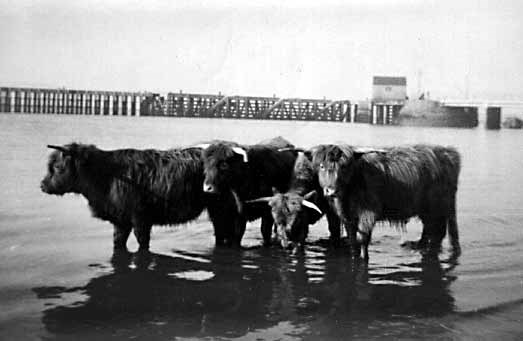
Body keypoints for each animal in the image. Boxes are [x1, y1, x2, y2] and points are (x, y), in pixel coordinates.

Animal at [41, 142, 209, 251]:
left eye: (56, 167)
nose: (42, 185)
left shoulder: (140, 219)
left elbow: (142, 242)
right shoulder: (120, 219)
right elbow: (118, 242)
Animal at [314, 143, 460, 258]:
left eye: (344, 167)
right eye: (322, 166)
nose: (331, 190)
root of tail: (447, 152)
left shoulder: (368, 213)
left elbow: (363, 239)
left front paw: (364, 257)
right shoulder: (348, 217)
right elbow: (352, 239)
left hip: (437, 207)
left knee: (437, 232)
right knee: (430, 229)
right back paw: (418, 246)